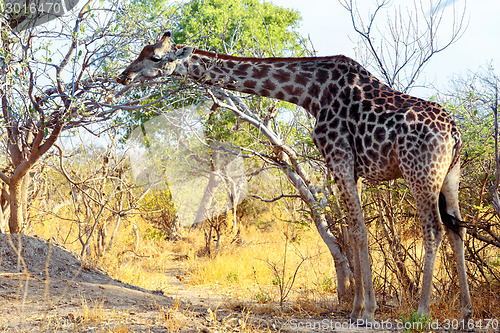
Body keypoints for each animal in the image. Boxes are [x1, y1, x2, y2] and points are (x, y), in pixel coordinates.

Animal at [117, 31, 472, 322]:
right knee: (458, 228)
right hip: (450, 176)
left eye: (156, 57)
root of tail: (455, 134)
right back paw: (465, 313)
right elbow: (350, 229)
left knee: (434, 229)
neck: (310, 93)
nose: (124, 76)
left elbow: (358, 231)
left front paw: (367, 312)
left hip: (420, 172)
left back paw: (422, 312)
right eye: (141, 51)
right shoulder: (346, 167)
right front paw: (356, 308)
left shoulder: (340, 157)